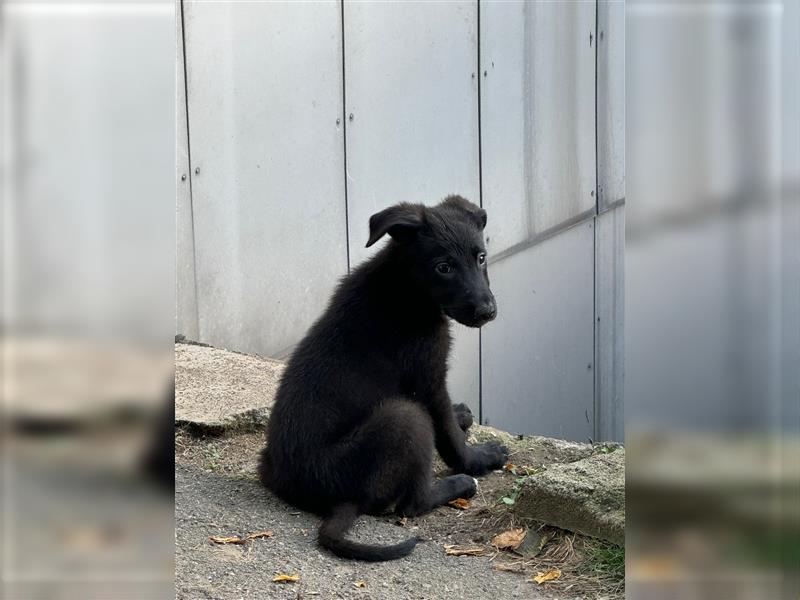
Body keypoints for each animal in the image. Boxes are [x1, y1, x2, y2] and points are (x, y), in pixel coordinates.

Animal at [260, 195, 510, 560]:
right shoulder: (428, 377)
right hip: (403, 419)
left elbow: (450, 418)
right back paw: (459, 484)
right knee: (411, 504)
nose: (487, 312)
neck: (404, 284)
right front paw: (479, 459)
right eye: (443, 267)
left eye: (480, 257)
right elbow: (448, 434)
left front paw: (462, 413)